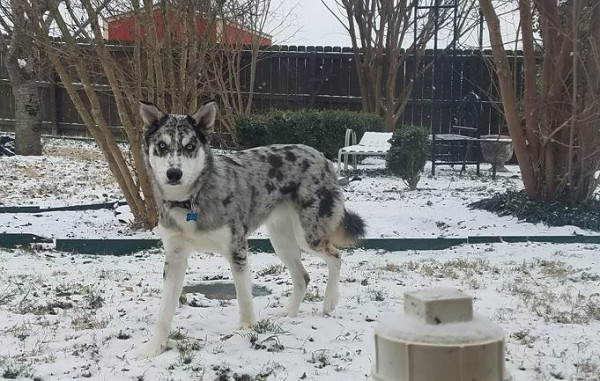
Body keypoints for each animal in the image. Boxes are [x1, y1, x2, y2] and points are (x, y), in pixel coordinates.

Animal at [136, 100, 366, 356]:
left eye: (190, 146)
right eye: (162, 145)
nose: (174, 173)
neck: (190, 201)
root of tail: (321, 156)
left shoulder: (236, 249)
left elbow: (244, 297)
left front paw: (247, 329)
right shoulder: (175, 257)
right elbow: (165, 311)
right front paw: (153, 348)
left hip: (308, 236)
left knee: (336, 256)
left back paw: (329, 302)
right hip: (281, 241)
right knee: (302, 277)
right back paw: (289, 313)